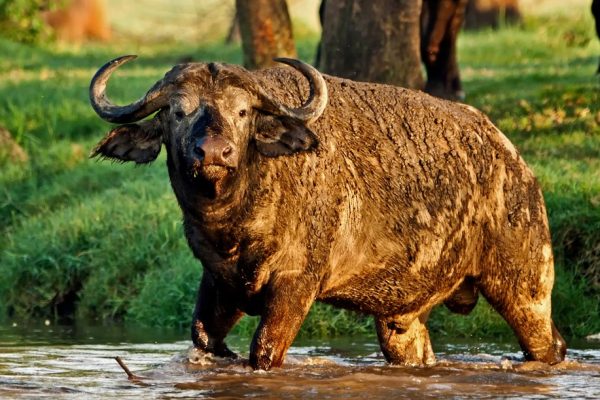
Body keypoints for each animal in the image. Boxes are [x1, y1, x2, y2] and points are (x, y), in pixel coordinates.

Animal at [89, 55, 568, 368]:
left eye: (242, 111)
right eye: (177, 111)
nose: (214, 152)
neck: (236, 225)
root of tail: (514, 161)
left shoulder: (296, 284)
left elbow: (264, 352)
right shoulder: (220, 284)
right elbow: (204, 339)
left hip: (525, 287)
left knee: (550, 346)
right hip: (401, 319)